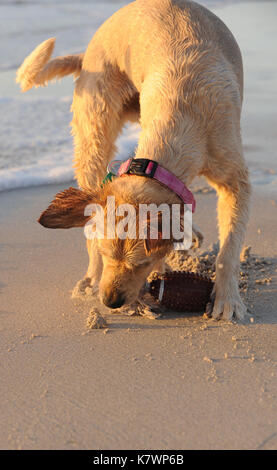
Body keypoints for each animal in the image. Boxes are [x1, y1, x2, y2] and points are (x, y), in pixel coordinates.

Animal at [17, 0, 250, 320]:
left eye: (140, 264)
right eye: (107, 254)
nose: (110, 302)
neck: (184, 110)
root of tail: (87, 53)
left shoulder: (235, 180)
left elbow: (229, 247)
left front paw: (227, 298)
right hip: (95, 135)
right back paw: (91, 279)